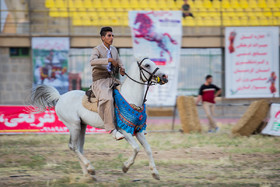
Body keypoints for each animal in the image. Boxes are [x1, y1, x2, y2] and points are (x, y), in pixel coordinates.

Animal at [30, 57, 168, 180]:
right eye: (147, 65)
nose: (164, 76)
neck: (130, 97)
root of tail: (60, 97)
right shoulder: (125, 131)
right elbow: (136, 148)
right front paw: (125, 167)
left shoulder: (138, 131)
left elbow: (148, 150)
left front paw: (155, 173)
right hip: (74, 126)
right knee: (73, 146)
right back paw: (90, 168)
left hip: (82, 126)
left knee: (79, 148)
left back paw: (88, 175)